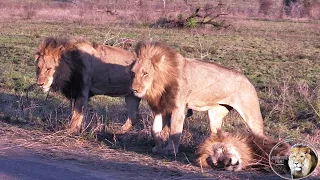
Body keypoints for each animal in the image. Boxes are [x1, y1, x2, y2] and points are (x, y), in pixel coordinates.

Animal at [130, 41, 264, 155]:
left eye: (145, 73)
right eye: (133, 72)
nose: (133, 89)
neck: (159, 86)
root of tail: (248, 80)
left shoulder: (178, 108)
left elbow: (174, 131)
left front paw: (170, 151)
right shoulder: (162, 107)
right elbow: (154, 130)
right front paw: (158, 148)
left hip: (251, 115)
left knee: (261, 135)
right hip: (215, 114)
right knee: (218, 134)